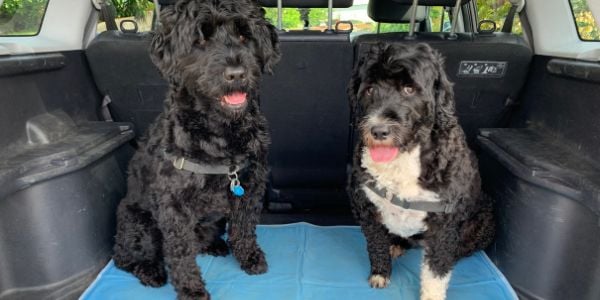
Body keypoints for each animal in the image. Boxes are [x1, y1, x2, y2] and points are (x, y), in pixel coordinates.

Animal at [112, 1, 278, 298]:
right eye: (200, 40)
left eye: (244, 35)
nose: (236, 74)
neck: (221, 133)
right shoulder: (172, 206)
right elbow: (180, 254)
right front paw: (191, 290)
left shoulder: (250, 186)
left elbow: (243, 227)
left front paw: (249, 257)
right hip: (139, 223)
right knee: (129, 258)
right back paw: (150, 270)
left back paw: (214, 244)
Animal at [344, 43, 494, 298]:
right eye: (370, 89)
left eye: (409, 89)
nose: (379, 130)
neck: (403, 160)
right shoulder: (366, 205)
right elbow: (376, 245)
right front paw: (381, 272)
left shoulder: (444, 223)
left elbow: (435, 271)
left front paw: (432, 294)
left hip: (484, 219)